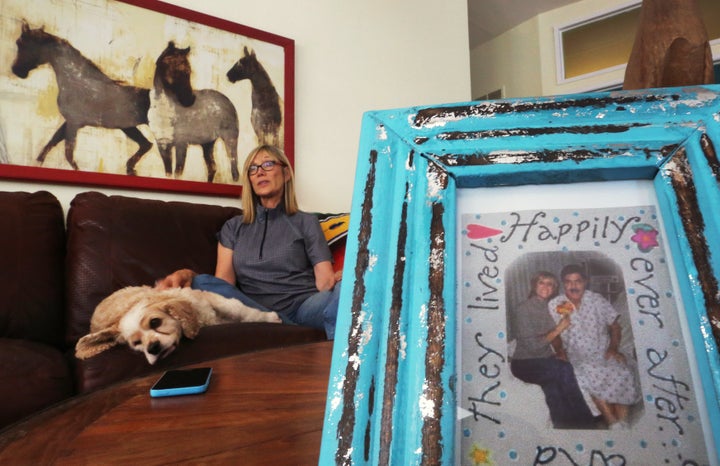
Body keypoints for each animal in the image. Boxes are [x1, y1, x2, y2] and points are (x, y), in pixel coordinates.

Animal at [74, 284, 280, 364]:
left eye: (155, 321)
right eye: (136, 343)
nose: (153, 348)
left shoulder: (207, 299)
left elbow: (238, 308)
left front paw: (270, 318)